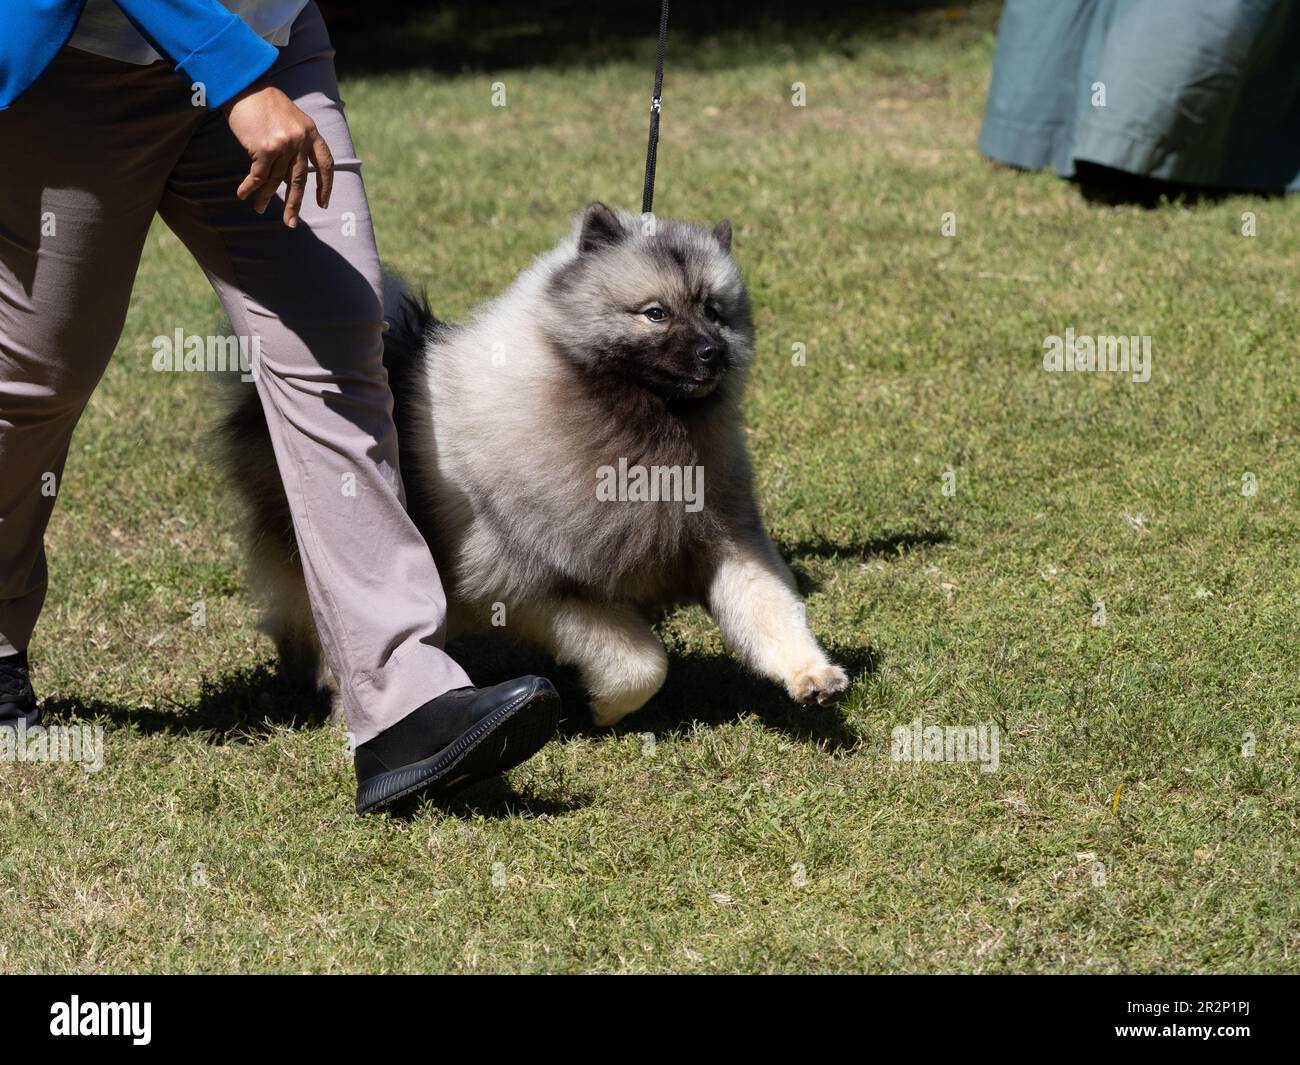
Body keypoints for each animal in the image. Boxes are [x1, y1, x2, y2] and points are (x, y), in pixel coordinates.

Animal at [220, 204, 852, 728]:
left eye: (714, 313)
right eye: (656, 313)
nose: (712, 352)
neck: (637, 426)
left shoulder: (724, 541)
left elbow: (771, 610)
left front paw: (812, 674)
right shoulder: (535, 586)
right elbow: (643, 661)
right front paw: (605, 710)